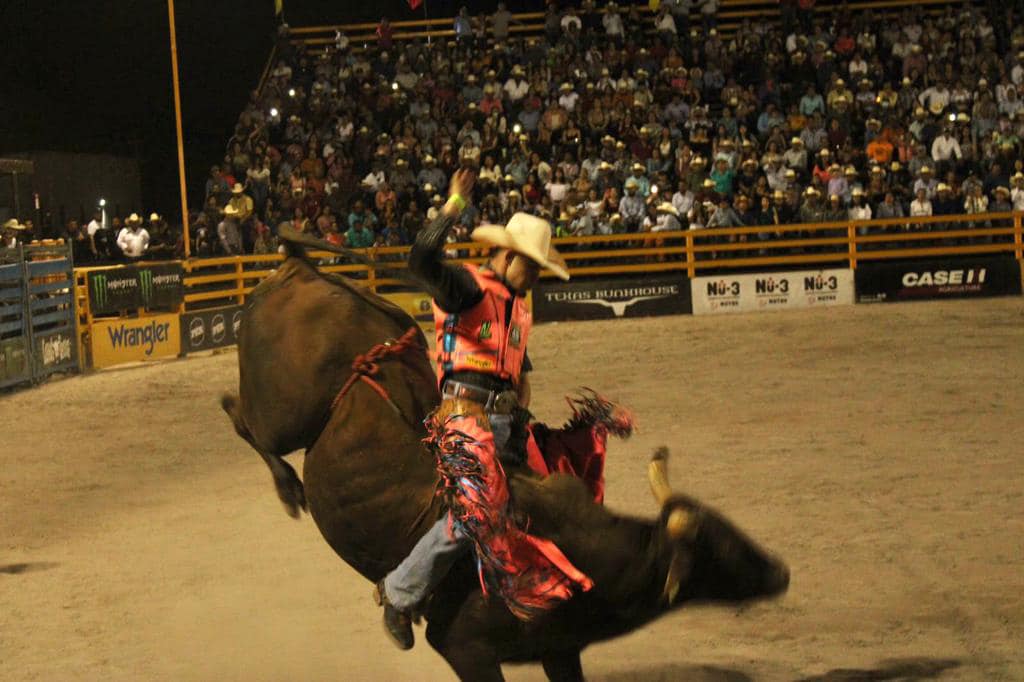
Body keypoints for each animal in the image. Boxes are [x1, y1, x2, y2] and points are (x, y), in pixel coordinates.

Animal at [220, 229, 786, 679]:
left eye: (732, 530)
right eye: (720, 549)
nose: (781, 571)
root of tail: (302, 269)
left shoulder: (561, 648)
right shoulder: (464, 649)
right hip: (285, 412)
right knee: (241, 415)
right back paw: (289, 489)